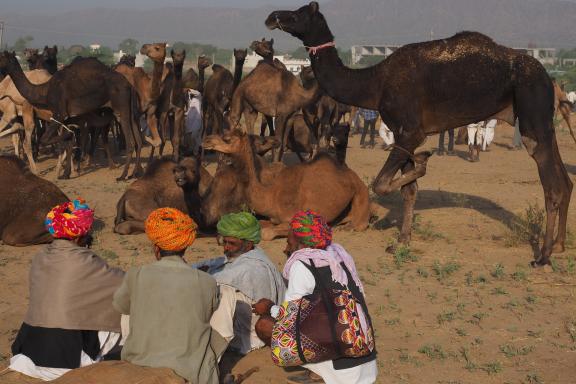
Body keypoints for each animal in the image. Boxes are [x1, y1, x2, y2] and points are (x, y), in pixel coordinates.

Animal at [0, 50, 144, 180]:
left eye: (1, 57)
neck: (44, 91)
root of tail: (129, 85)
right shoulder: (67, 119)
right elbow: (67, 144)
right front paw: (66, 173)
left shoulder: (59, 113)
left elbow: (49, 139)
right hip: (131, 112)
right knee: (138, 141)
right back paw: (134, 173)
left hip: (121, 108)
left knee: (131, 142)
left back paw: (122, 175)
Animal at [205, 132, 372, 240]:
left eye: (227, 138)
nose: (206, 140)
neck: (270, 195)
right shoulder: (272, 218)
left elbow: (267, 234)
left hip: (361, 193)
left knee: (360, 224)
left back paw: (347, 227)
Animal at [266, 1, 572, 266]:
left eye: (299, 13)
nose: (272, 16)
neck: (375, 82)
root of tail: (548, 77)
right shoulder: (407, 134)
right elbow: (408, 190)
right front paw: (402, 240)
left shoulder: (410, 131)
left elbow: (382, 184)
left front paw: (423, 164)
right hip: (543, 120)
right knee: (565, 180)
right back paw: (559, 245)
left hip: (532, 108)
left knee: (552, 185)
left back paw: (543, 256)